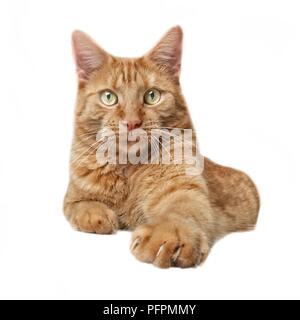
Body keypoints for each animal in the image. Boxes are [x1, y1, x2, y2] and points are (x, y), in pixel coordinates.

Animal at [63, 26, 260, 268]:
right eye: (109, 97)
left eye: (152, 96)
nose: (132, 123)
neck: (128, 168)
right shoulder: (72, 197)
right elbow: (82, 206)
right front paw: (97, 216)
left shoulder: (184, 189)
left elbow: (180, 211)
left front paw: (169, 236)